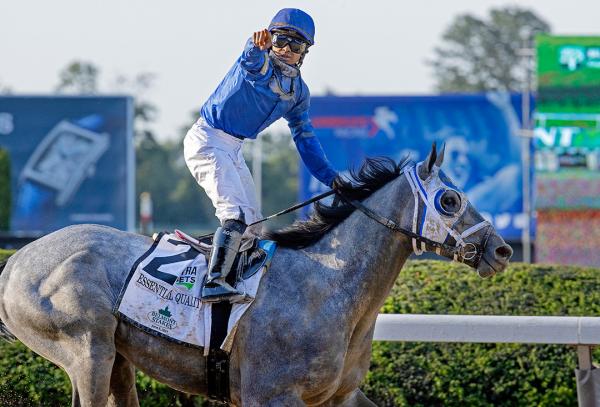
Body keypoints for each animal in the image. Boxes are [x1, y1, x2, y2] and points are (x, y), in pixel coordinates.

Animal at [0, 144, 512, 406]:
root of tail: (17, 260)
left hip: (118, 359)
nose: (501, 249)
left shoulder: (340, 397)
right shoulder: (270, 395)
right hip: (87, 350)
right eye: (450, 199)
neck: (327, 288)